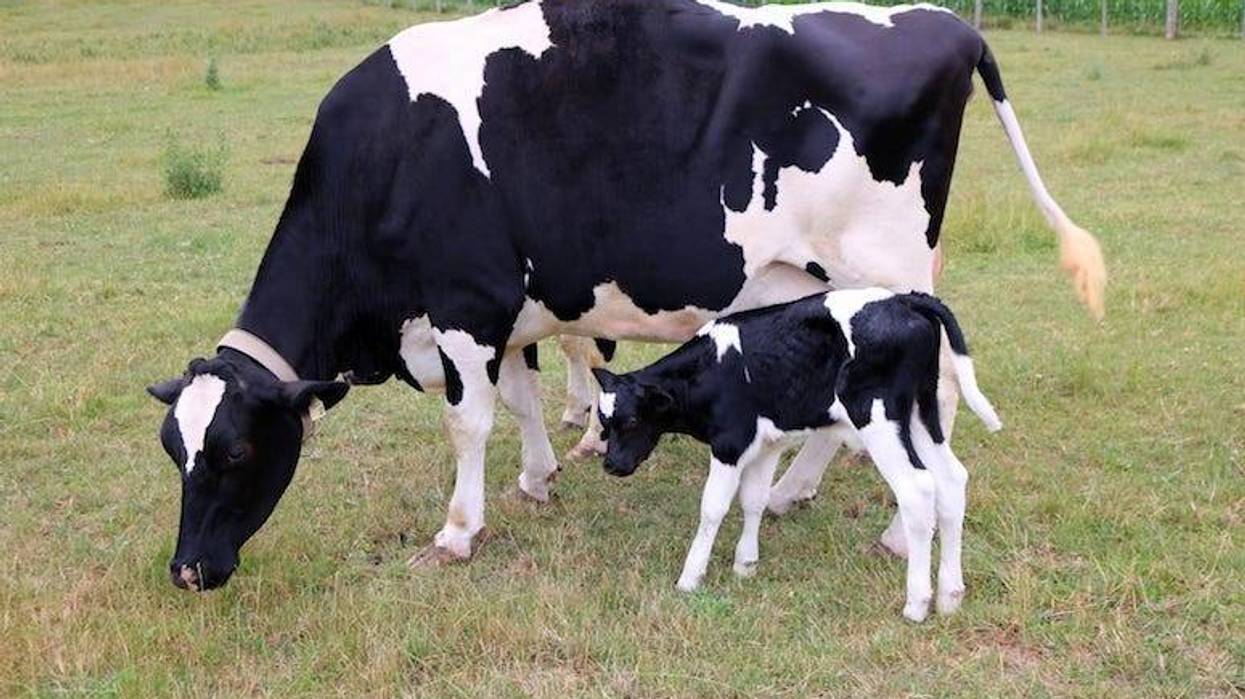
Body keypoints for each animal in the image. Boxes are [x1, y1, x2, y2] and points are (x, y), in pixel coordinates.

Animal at [591, 288, 1001, 621]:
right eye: (604, 422)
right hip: (920, 413)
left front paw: (691, 577)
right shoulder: (766, 444)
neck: (711, 371)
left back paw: (917, 604)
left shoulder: (730, 444)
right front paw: (746, 564)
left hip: (879, 418)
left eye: (631, 420)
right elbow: (753, 500)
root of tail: (902, 299)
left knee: (917, 489)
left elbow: (713, 508)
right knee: (952, 480)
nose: (611, 465)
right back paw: (950, 596)